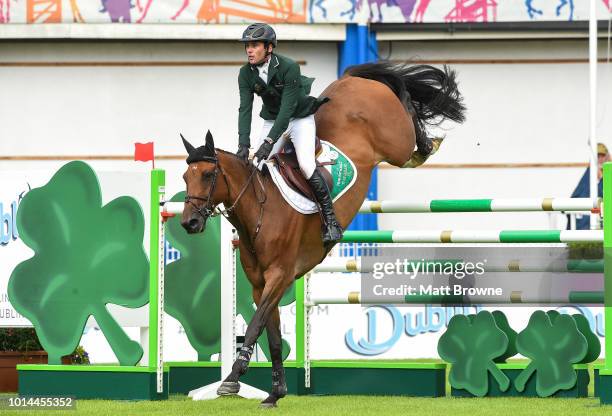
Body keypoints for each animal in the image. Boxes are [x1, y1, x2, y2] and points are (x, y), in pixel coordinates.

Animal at [179, 61, 466, 406]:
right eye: (185, 177)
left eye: (209, 175)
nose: (189, 223)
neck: (260, 209)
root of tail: (352, 79)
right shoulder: (261, 285)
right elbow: (272, 336)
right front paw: (275, 393)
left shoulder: (280, 275)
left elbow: (254, 326)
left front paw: (232, 379)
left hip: (395, 141)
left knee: (407, 113)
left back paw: (425, 145)